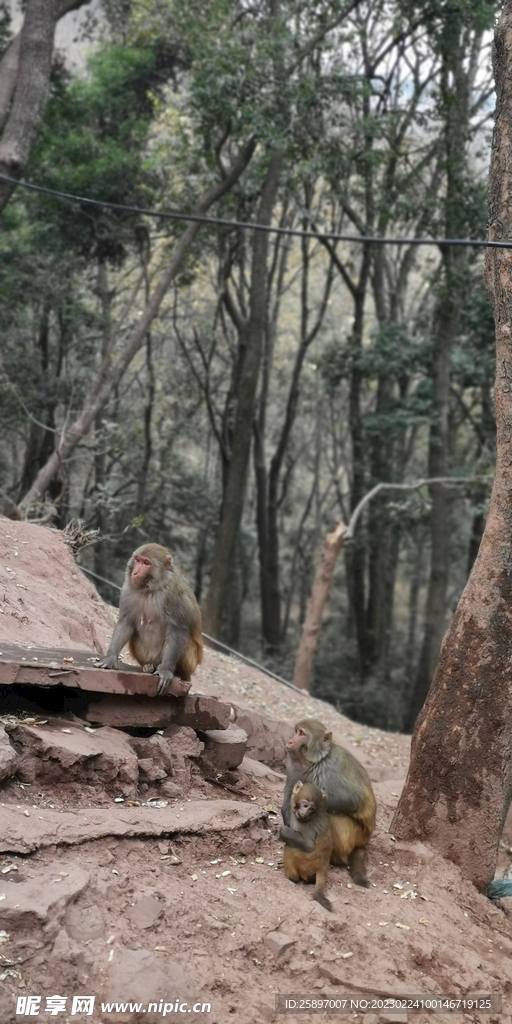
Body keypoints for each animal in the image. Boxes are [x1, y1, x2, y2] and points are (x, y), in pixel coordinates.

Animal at [98, 540, 202, 700]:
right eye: (138, 560)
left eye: (146, 563)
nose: (135, 572)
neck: (151, 588)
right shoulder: (127, 591)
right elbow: (126, 623)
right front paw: (110, 658)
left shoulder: (175, 596)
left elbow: (178, 630)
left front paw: (165, 670)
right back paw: (148, 666)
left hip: (191, 662)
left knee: (186, 642)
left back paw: (177, 673)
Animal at [280, 720, 376, 888]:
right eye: (297, 731)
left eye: (302, 734)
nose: (290, 741)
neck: (315, 762)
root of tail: (364, 840)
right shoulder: (294, 767)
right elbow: (289, 800)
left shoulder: (332, 770)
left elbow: (351, 799)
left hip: (354, 834)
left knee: (332, 817)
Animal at [282, 782, 333, 913]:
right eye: (305, 805)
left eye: (311, 809)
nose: (305, 813)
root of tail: (322, 867)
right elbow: (324, 795)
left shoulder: (305, 825)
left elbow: (308, 844)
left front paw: (282, 831)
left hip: (305, 863)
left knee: (289, 847)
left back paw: (293, 878)